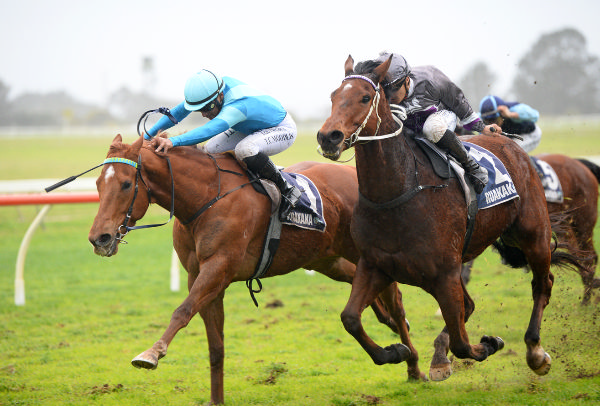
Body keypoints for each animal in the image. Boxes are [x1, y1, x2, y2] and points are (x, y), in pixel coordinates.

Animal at [88, 135, 426, 404]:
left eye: (126, 184)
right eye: (98, 184)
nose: (99, 238)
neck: (206, 198)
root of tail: (354, 175)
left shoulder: (218, 268)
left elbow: (182, 312)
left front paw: (151, 354)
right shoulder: (201, 277)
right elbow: (215, 345)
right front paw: (216, 400)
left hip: (365, 253)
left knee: (395, 300)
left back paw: (412, 363)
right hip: (325, 258)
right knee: (366, 289)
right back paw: (391, 330)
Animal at [318, 56, 584, 380]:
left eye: (365, 97)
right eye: (333, 96)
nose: (328, 137)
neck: (398, 192)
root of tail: (510, 144)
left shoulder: (444, 273)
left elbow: (462, 342)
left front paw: (489, 343)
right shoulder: (375, 265)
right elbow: (350, 318)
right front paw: (396, 351)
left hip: (534, 233)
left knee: (542, 283)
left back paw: (535, 351)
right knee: (471, 306)